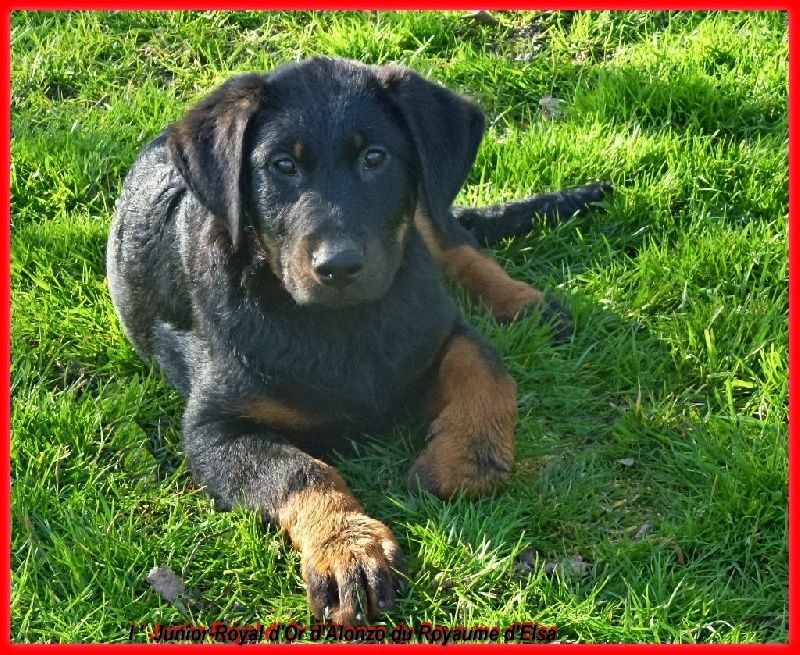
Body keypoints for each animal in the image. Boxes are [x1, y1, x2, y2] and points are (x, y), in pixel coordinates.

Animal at [107, 56, 609, 624]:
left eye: (374, 157)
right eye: (283, 165)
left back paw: (525, 303)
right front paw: (347, 549)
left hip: (426, 205)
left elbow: (486, 366)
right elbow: (301, 472)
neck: (342, 322)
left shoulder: (437, 328)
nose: (339, 266)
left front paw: (466, 458)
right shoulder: (215, 429)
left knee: (451, 236)